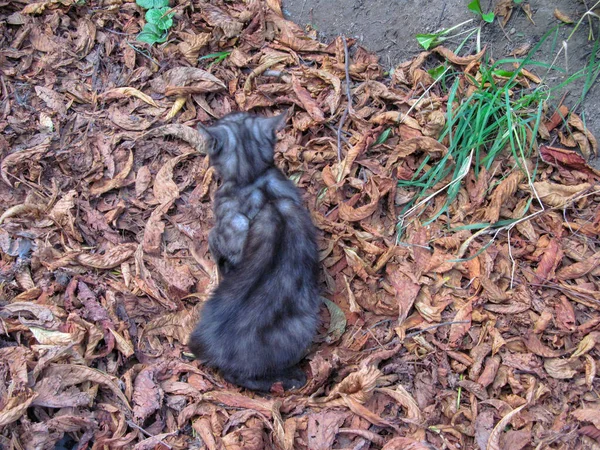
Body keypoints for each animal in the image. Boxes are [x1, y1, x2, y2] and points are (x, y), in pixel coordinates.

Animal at [188, 111, 322, 390]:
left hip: (300, 326)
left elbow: (218, 246)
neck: (254, 180)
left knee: (240, 376)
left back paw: (291, 379)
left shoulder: (225, 229)